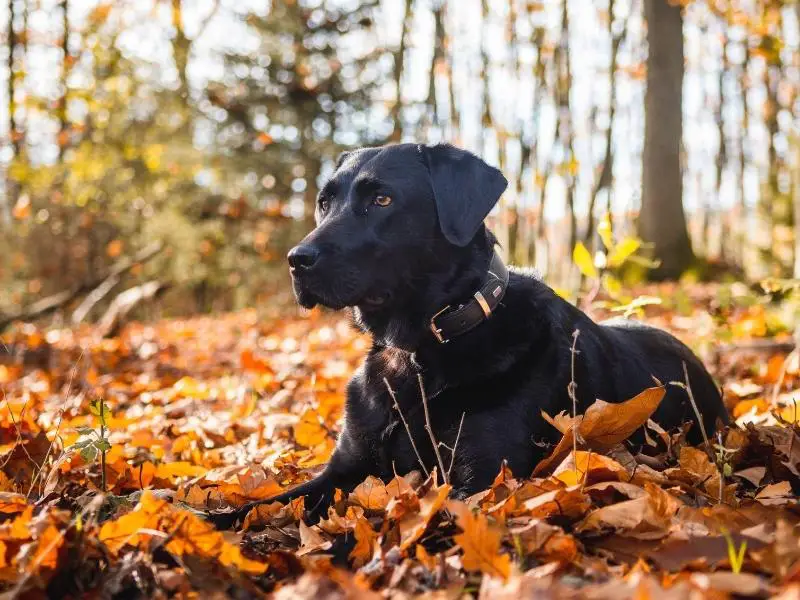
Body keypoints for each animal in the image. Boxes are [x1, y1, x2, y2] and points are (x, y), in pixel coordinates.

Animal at [219, 142, 724, 524]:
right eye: (324, 202)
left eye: (381, 200)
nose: (296, 260)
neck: (416, 353)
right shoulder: (346, 466)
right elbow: (265, 505)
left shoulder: (480, 481)